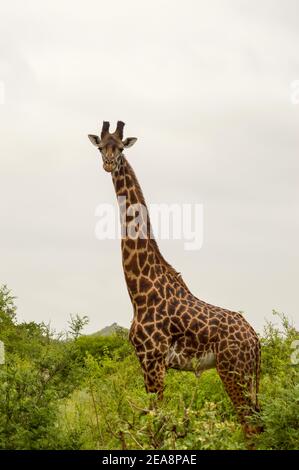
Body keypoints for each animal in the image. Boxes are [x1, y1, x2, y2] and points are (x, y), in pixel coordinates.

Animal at [88, 121, 262, 436]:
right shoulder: (147, 363)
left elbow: (156, 426)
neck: (139, 291)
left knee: (250, 426)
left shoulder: (153, 360)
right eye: (100, 147)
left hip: (233, 370)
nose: (108, 163)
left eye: (119, 148)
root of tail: (256, 339)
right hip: (245, 374)